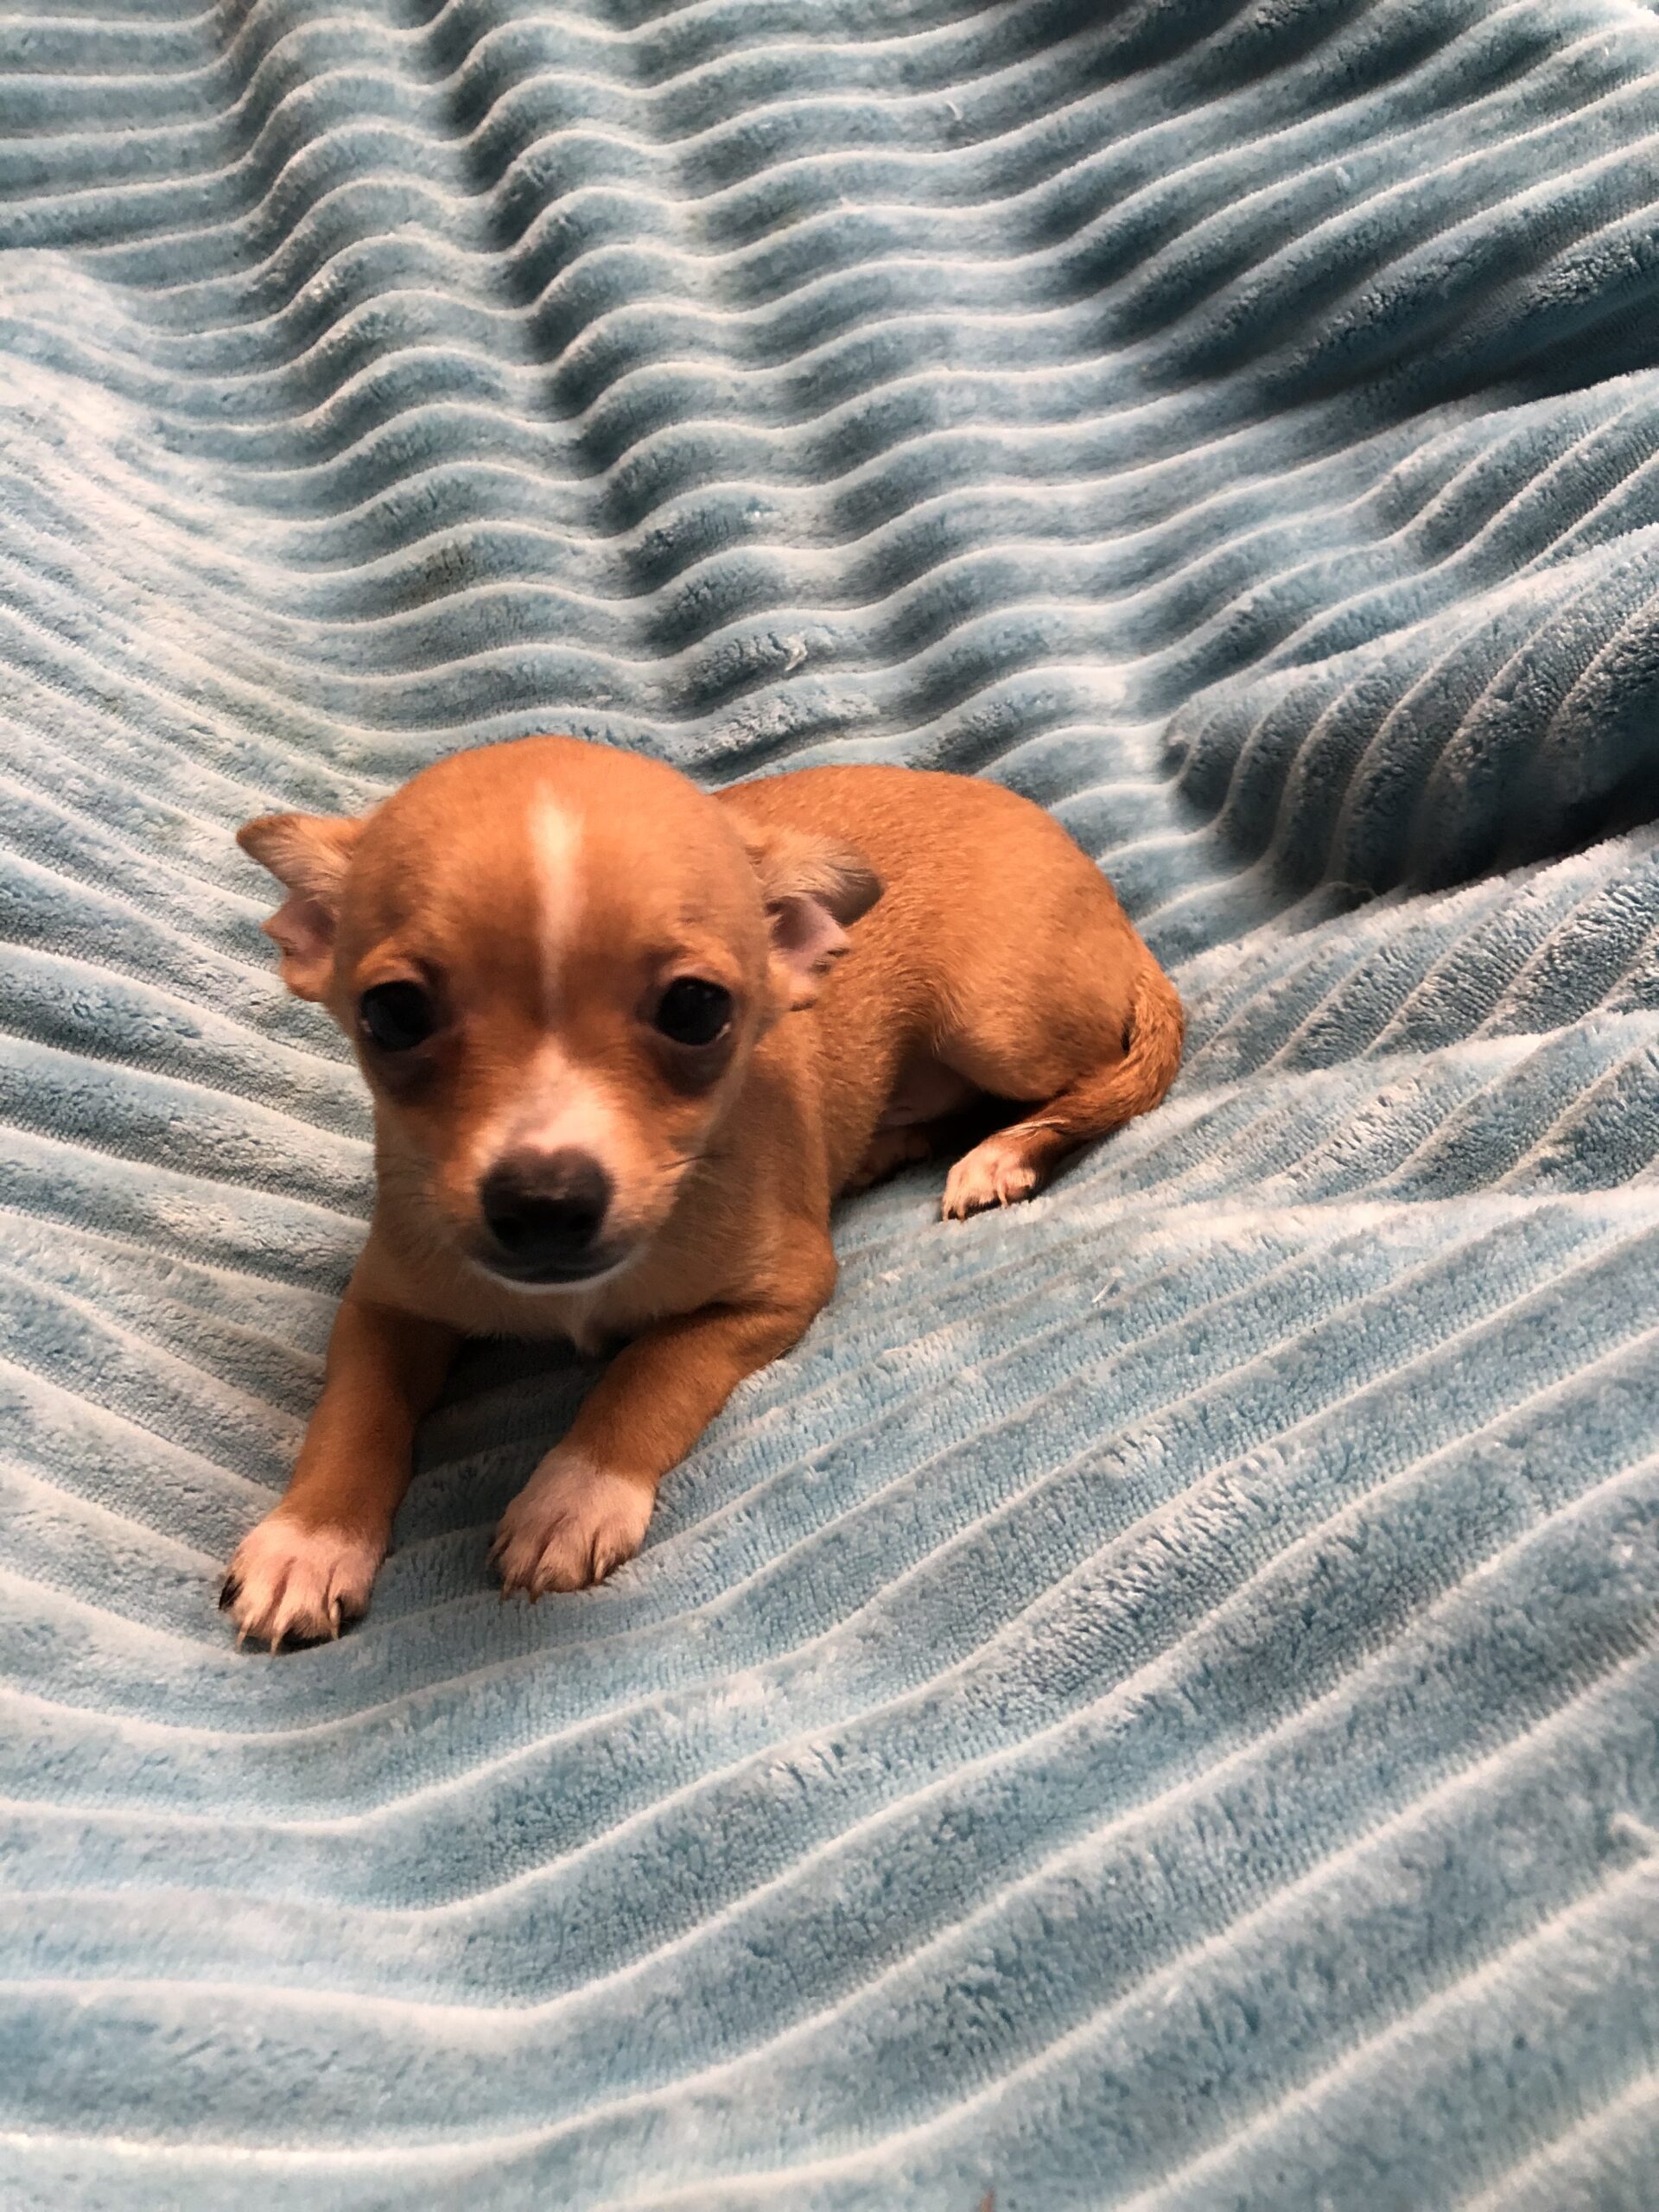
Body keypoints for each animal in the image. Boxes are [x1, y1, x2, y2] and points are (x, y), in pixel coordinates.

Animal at [220, 737, 1183, 1649]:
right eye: (393, 1015)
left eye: (695, 1009)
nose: (545, 1199)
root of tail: (1107, 896)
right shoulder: (386, 1304)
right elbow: (354, 1411)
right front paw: (310, 1542)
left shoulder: (774, 1296)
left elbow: (650, 1372)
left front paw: (572, 1495)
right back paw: (888, 1146)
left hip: (992, 1022)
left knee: (1082, 1082)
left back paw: (1005, 1154)